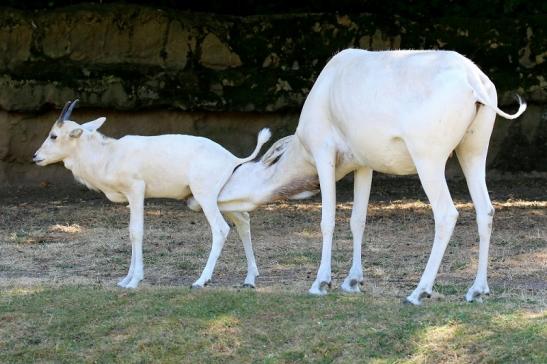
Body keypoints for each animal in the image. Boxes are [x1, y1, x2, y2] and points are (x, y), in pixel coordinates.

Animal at [33, 101, 270, 288]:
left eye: (53, 135)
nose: (36, 157)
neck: (109, 154)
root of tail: (232, 158)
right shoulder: (130, 198)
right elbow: (130, 232)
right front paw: (124, 280)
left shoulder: (136, 191)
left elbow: (137, 231)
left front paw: (134, 281)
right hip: (223, 199)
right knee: (243, 220)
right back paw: (250, 278)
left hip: (206, 198)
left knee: (221, 229)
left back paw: (201, 281)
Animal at [200, 49, 528, 304]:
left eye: (237, 172)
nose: (210, 198)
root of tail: (474, 83)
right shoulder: (364, 165)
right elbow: (357, 220)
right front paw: (352, 281)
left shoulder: (324, 154)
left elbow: (328, 221)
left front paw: (321, 283)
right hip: (472, 152)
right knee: (485, 210)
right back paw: (476, 291)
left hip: (429, 160)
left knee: (447, 214)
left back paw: (418, 293)